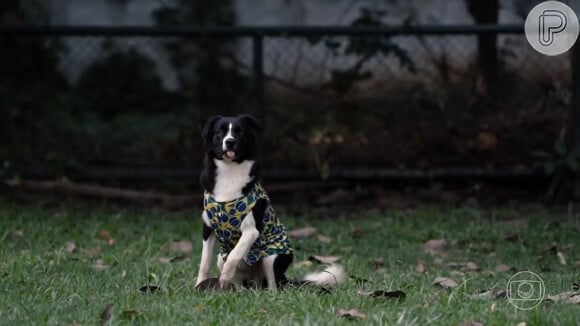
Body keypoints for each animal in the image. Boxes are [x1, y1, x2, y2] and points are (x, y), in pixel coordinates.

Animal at [195, 114, 344, 290]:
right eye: (220, 132)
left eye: (240, 132)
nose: (230, 141)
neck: (229, 171)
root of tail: (256, 282)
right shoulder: (208, 229)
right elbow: (204, 261)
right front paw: (199, 283)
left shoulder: (251, 231)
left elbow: (235, 254)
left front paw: (224, 276)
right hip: (221, 257)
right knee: (237, 282)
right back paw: (238, 291)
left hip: (272, 258)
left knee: (274, 286)